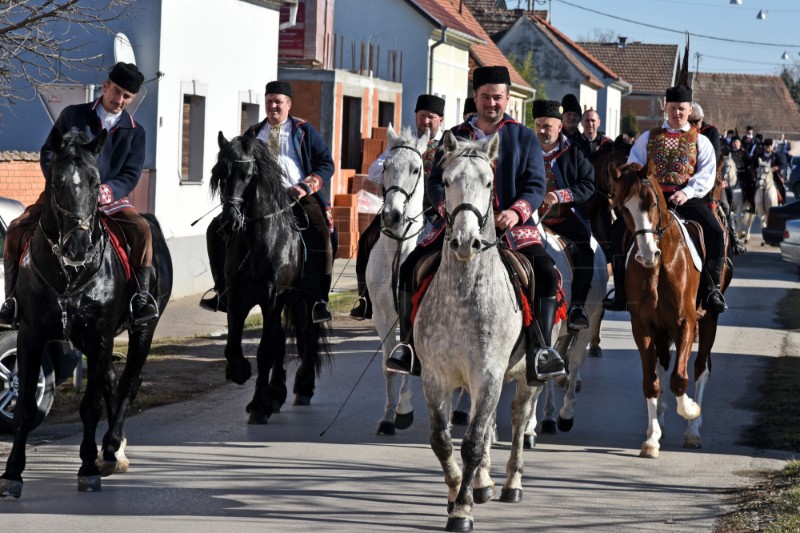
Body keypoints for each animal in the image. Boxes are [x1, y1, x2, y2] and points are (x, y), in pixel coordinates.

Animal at [0, 131, 173, 496]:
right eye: (57, 181)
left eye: (96, 183)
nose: (77, 247)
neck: (69, 273)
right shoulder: (31, 334)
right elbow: (25, 407)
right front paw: (12, 474)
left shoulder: (100, 335)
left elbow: (91, 405)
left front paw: (88, 467)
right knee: (111, 380)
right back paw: (112, 452)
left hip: (142, 330)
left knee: (128, 382)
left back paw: (110, 448)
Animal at [211, 130, 330, 424]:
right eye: (219, 173)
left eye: (247, 174)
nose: (229, 223)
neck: (258, 240)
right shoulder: (237, 297)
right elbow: (234, 345)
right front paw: (239, 371)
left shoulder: (272, 298)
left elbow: (265, 350)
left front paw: (258, 406)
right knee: (282, 340)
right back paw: (276, 392)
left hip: (309, 298)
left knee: (309, 334)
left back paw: (303, 387)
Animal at [416, 131, 540, 528]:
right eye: (445, 181)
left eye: (489, 182)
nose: (465, 242)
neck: (462, 296)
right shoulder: (435, 376)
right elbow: (442, 440)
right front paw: (458, 490)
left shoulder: (488, 373)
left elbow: (470, 442)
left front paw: (462, 511)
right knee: (484, 424)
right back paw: (484, 483)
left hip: (526, 377)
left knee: (517, 419)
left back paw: (512, 484)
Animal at [608, 162, 736, 458]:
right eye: (622, 207)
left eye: (652, 202)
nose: (646, 254)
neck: (660, 266)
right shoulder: (643, 327)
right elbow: (652, 380)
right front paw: (651, 439)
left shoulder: (685, 323)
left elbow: (680, 378)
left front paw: (689, 411)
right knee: (662, 364)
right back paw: (659, 425)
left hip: (708, 320)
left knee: (701, 367)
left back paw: (693, 430)